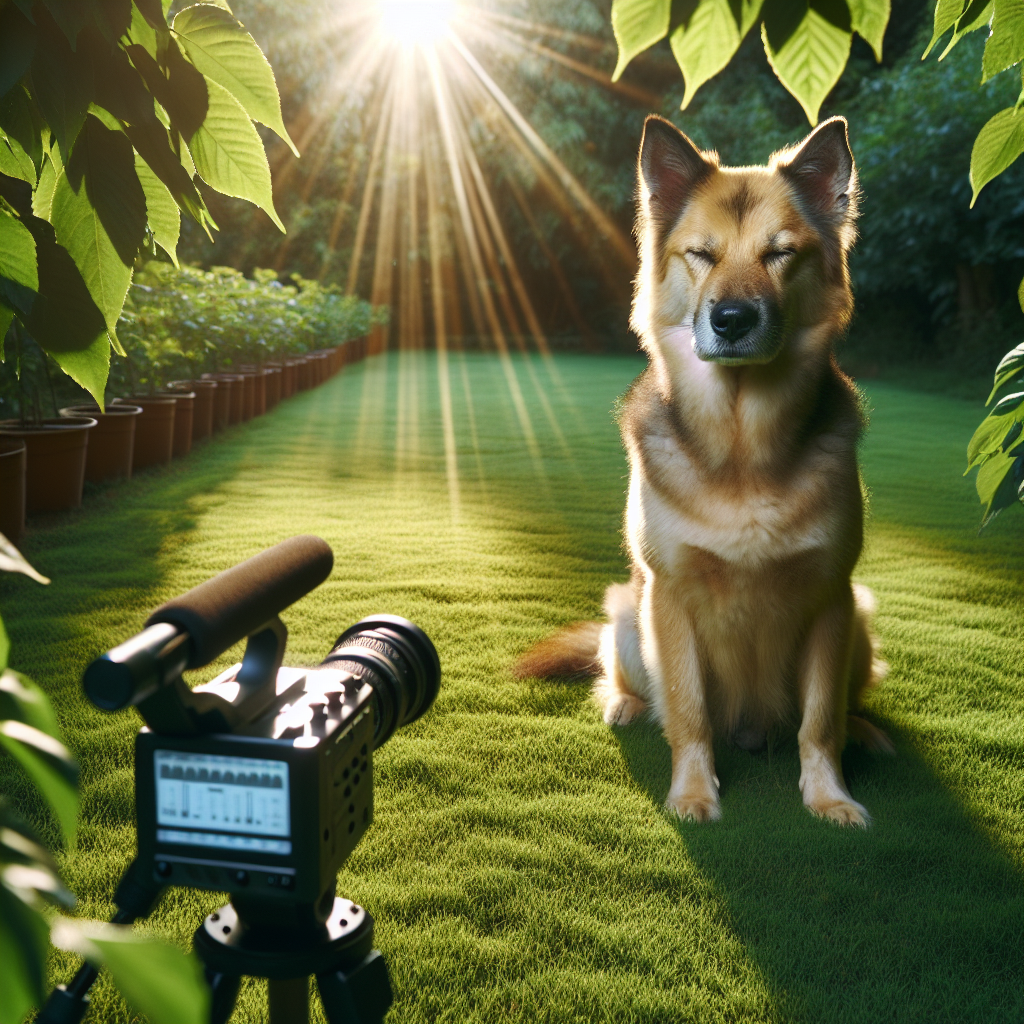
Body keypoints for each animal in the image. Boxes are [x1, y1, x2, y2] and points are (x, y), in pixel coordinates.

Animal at [516, 116, 892, 827]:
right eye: (702, 254)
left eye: (780, 254)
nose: (733, 320)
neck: (744, 449)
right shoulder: (671, 597)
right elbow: (688, 713)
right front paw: (692, 794)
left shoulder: (832, 597)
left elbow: (819, 721)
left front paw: (829, 795)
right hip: (629, 613)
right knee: (630, 676)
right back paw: (626, 703)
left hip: (858, 620)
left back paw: (865, 729)